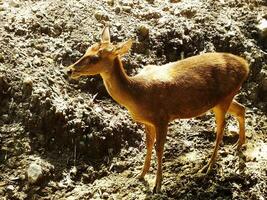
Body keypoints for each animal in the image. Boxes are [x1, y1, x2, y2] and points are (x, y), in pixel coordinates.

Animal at [67, 26, 251, 192]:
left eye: (95, 58)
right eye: (87, 49)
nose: (69, 70)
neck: (136, 94)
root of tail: (246, 65)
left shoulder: (162, 117)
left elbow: (159, 148)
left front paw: (157, 185)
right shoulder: (148, 122)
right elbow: (148, 145)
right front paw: (140, 175)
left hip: (224, 98)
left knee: (221, 128)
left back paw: (209, 166)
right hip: (222, 99)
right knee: (241, 109)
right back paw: (239, 144)